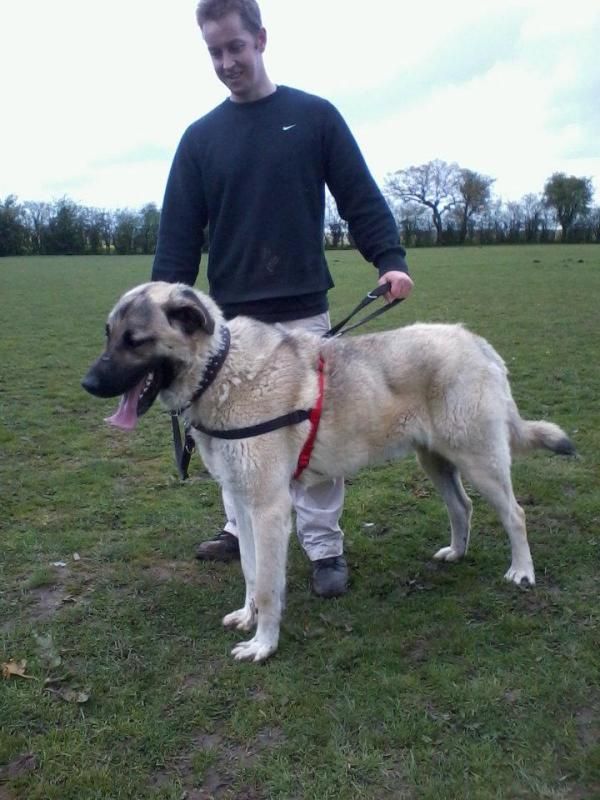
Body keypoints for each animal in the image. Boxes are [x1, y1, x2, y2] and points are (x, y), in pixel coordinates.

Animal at [82, 282, 576, 664]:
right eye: (108, 335)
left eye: (135, 340)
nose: (88, 384)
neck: (221, 370)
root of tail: (476, 342)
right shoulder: (243, 503)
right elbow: (249, 572)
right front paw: (248, 618)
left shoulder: (269, 508)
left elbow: (267, 585)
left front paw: (263, 644)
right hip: (435, 460)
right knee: (462, 506)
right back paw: (456, 552)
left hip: (478, 458)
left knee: (514, 514)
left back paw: (522, 572)